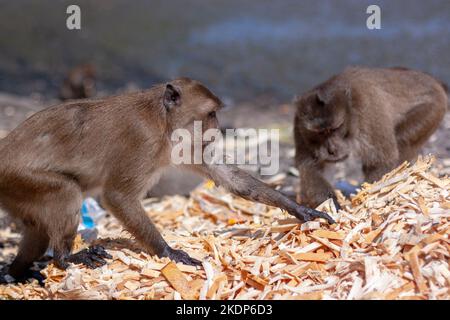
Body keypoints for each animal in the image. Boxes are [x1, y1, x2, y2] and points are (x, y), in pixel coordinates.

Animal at [0, 78, 334, 280]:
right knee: (67, 191)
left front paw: (301, 210)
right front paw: (168, 252)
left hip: (16, 190)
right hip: (21, 178)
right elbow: (117, 196)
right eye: (210, 114)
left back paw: (17, 272)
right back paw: (63, 259)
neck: (162, 121)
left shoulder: (187, 145)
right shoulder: (143, 139)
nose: (217, 128)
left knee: (37, 228)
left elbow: (229, 178)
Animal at [296, 66, 446, 209]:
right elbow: (310, 167)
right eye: (320, 133)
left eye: (335, 129)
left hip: (433, 108)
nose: (331, 150)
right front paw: (329, 204)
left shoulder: (367, 109)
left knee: (402, 140)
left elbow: (381, 161)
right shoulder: (300, 124)